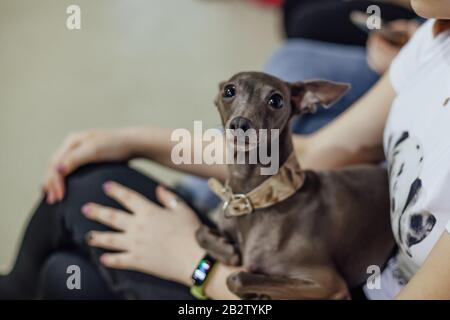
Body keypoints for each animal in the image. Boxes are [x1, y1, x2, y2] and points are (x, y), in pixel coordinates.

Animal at [196, 72, 394, 300]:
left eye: (276, 100)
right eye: (228, 91)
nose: (239, 124)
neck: (256, 198)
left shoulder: (329, 284)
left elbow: (237, 278)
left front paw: (260, 294)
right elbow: (200, 231)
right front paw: (226, 250)